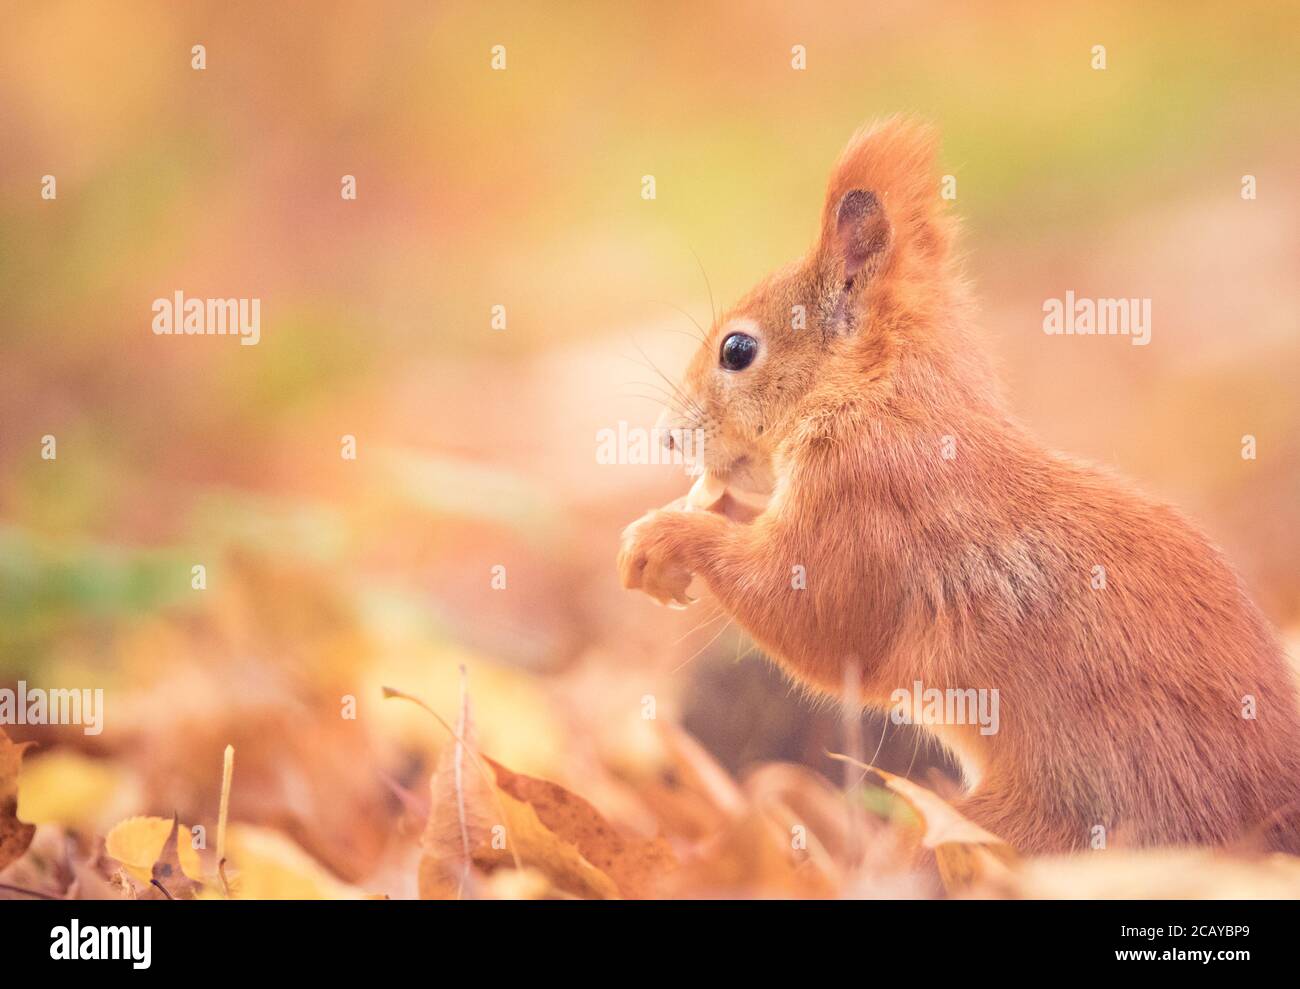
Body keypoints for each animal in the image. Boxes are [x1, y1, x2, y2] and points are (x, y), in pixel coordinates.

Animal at [616, 115, 1300, 852]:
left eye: (737, 351)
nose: (668, 437)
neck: (881, 397)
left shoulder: (865, 499)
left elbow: (816, 618)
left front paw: (667, 534)